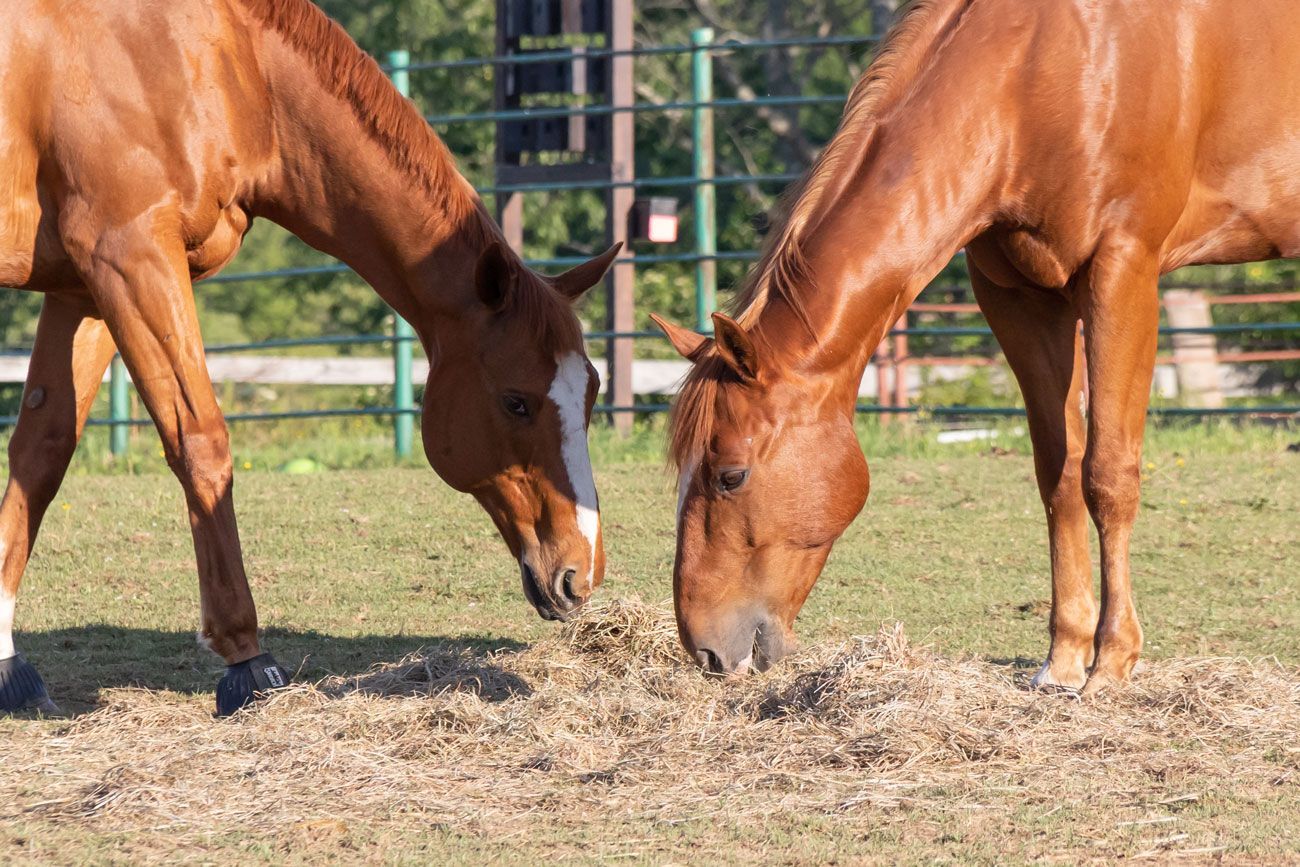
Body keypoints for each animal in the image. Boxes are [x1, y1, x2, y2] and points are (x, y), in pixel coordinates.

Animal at [0, 0, 616, 715]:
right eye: (516, 401)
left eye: (591, 392)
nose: (581, 573)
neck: (226, 63)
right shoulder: (130, 256)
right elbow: (201, 443)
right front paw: (247, 658)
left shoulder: (82, 287)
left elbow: (41, 453)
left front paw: (7, 661)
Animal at [652, 0, 1300, 694]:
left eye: (730, 476)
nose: (704, 649)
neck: (1040, 70)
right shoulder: (1018, 297)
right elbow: (1059, 472)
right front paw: (1063, 660)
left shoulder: (1122, 272)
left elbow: (1107, 475)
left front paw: (1110, 663)